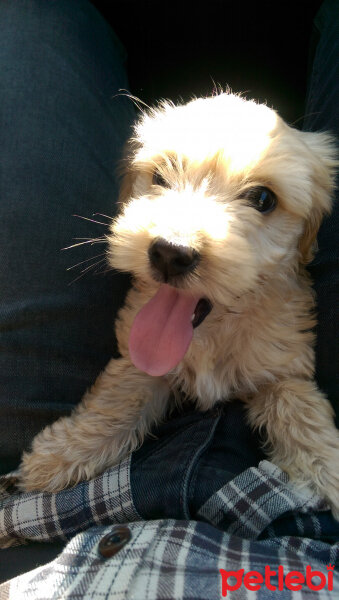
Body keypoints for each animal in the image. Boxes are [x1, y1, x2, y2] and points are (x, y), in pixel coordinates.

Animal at [17, 92, 339, 516]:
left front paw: (327, 470)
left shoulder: (284, 365)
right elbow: (117, 399)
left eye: (263, 199)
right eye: (159, 176)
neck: (213, 333)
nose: (171, 252)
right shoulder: (138, 358)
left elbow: (298, 409)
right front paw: (61, 452)